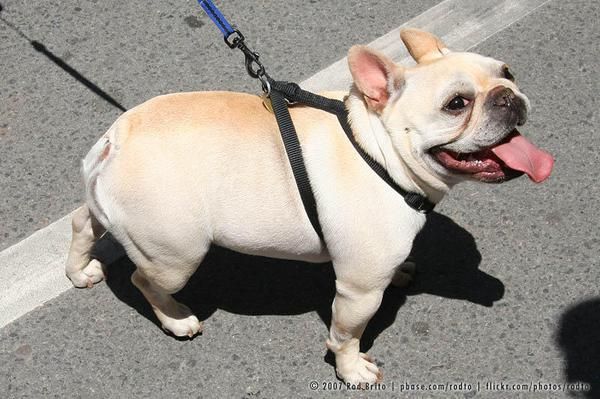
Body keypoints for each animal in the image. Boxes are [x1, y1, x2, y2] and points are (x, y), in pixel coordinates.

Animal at [65, 29, 552, 386]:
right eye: (457, 104)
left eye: (506, 71)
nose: (508, 95)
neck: (377, 149)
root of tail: (114, 141)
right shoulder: (358, 291)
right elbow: (346, 335)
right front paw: (352, 371)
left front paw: (401, 272)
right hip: (176, 255)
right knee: (143, 279)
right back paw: (177, 319)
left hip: (109, 213)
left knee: (83, 224)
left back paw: (79, 270)